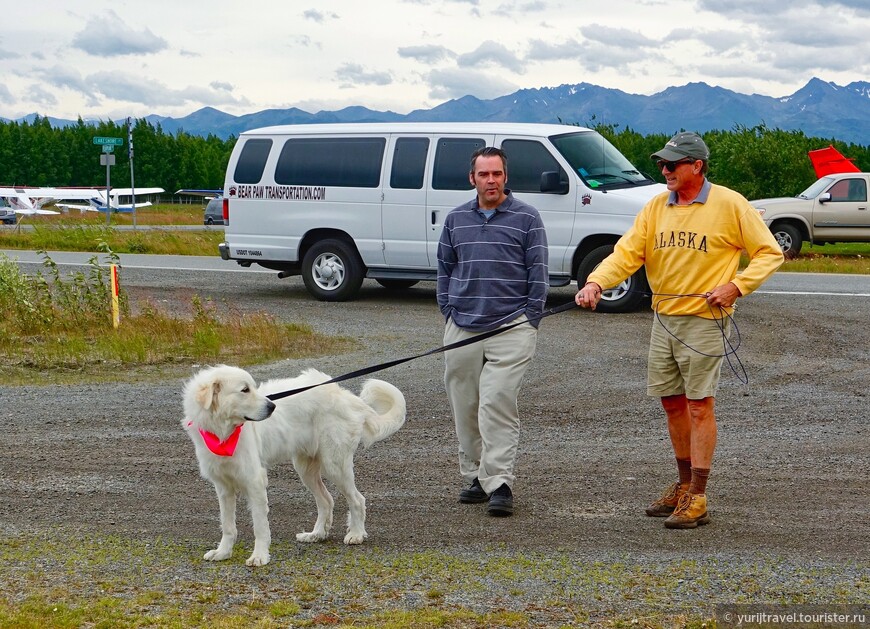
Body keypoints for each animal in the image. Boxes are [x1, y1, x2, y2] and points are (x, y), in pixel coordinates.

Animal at [180, 364, 408, 564]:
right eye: (244, 390)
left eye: (252, 387)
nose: (272, 406)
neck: (223, 433)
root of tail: (344, 395)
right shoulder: (223, 487)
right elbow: (228, 526)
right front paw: (223, 553)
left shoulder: (254, 482)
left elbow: (260, 526)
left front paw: (260, 556)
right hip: (306, 469)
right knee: (326, 501)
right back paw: (316, 534)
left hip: (335, 465)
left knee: (357, 500)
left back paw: (356, 534)